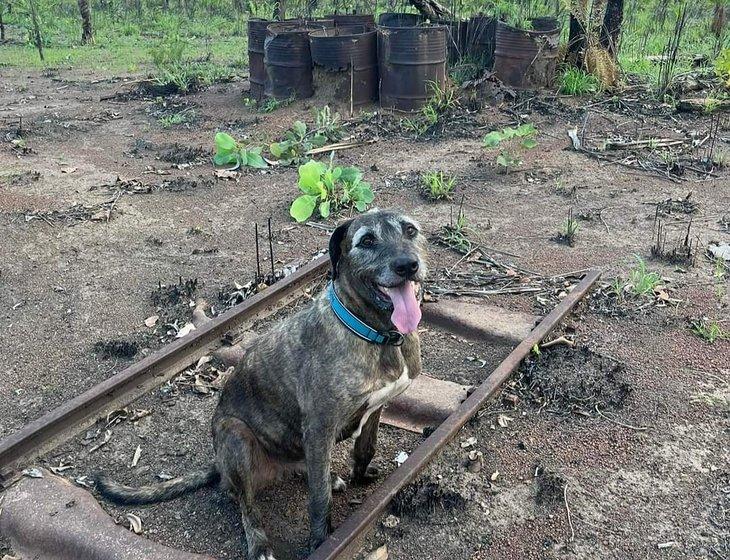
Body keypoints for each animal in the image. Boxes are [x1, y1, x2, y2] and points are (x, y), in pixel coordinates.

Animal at [96, 209, 426, 560]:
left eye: (410, 230)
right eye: (366, 240)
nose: (408, 265)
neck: (374, 333)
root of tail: (218, 465)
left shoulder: (375, 408)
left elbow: (365, 449)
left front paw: (360, 477)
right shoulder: (320, 427)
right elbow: (318, 499)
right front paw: (321, 541)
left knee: (306, 469)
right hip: (235, 434)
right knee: (246, 502)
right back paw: (259, 542)